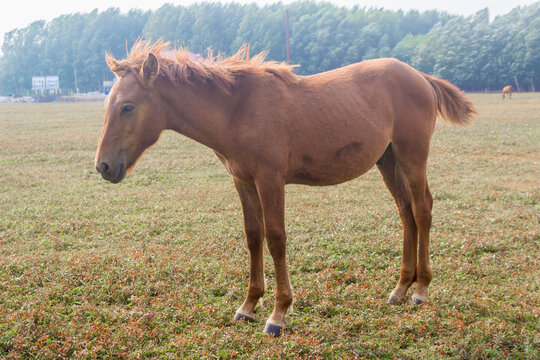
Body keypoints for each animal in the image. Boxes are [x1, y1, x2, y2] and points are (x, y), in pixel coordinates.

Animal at [95, 41, 474, 338]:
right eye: (107, 105)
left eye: (127, 107)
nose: (103, 166)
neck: (237, 109)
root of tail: (421, 77)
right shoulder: (243, 181)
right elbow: (253, 236)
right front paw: (248, 306)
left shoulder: (270, 179)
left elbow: (276, 238)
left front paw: (278, 314)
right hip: (389, 160)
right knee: (406, 213)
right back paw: (400, 288)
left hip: (412, 156)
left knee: (422, 210)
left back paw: (421, 290)